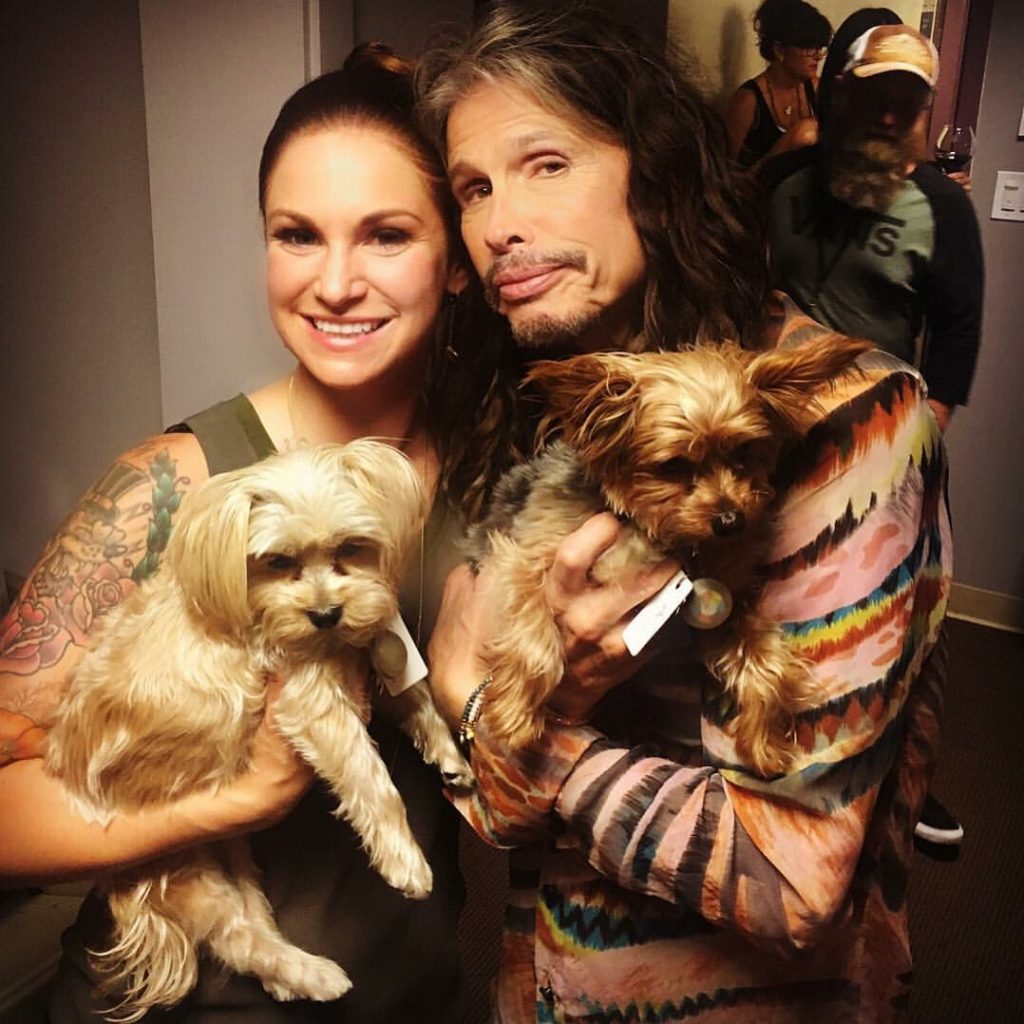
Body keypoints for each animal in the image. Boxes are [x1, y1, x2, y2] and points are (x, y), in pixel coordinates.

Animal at [40, 442, 471, 1024]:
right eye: (278, 561)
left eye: (351, 547)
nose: (325, 613)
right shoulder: (311, 698)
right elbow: (372, 780)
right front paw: (405, 860)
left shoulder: (353, 660)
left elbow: (413, 696)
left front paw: (450, 755)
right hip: (187, 876)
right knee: (237, 939)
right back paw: (318, 977)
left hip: (234, 857)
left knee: (253, 928)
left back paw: (291, 979)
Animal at [464, 335, 872, 774]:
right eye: (673, 465)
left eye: (745, 451)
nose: (731, 521)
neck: (650, 531)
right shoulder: (524, 556)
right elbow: (534, 634)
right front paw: (514, 715)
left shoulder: (724, 604)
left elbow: (768, 663)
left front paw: (764, 743)